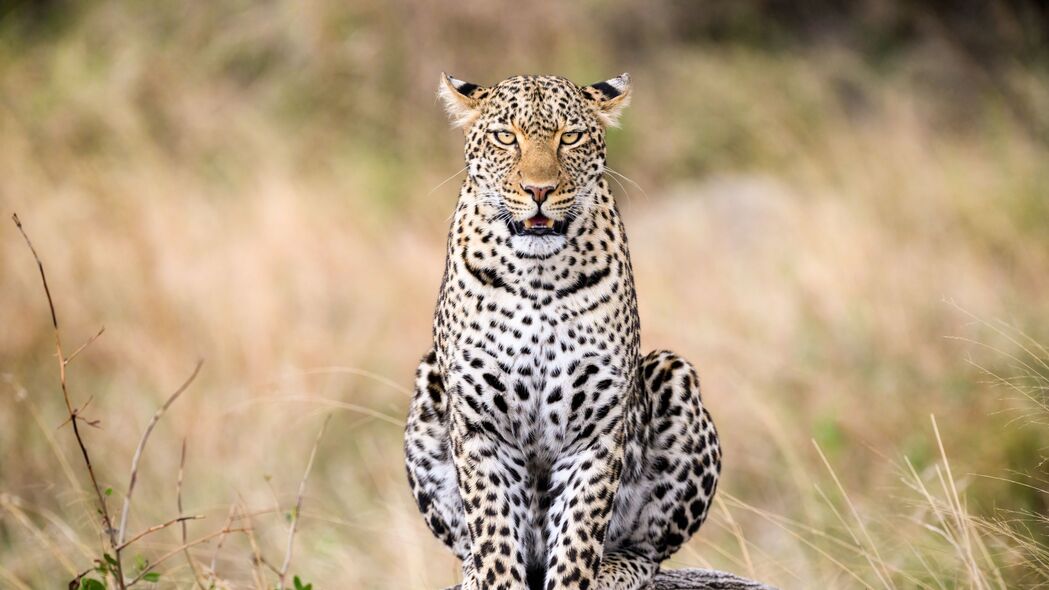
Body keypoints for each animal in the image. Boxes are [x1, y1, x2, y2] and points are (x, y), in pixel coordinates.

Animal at [402, 73, 721, 587]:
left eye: (569, 137)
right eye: (505, 137)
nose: (539, 190)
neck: (538, 277)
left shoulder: (596, 430)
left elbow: (578, 539)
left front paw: (581, 572)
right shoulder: (479, 427)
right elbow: (493, 534)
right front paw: (493, 575)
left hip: (673, 373)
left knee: (648, 549)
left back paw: (616, 570)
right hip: (429, 382)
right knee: (469, 546)